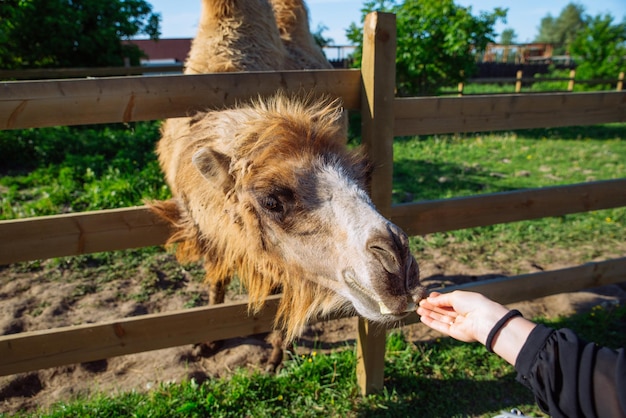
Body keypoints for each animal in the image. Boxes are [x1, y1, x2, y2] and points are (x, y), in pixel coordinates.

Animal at [151, 0, 424, 366]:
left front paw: (278, 353)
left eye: (362, 178)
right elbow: (217, 280)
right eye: (271, 200)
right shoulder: (207, 225)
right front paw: (206, 343)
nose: (397, 266)